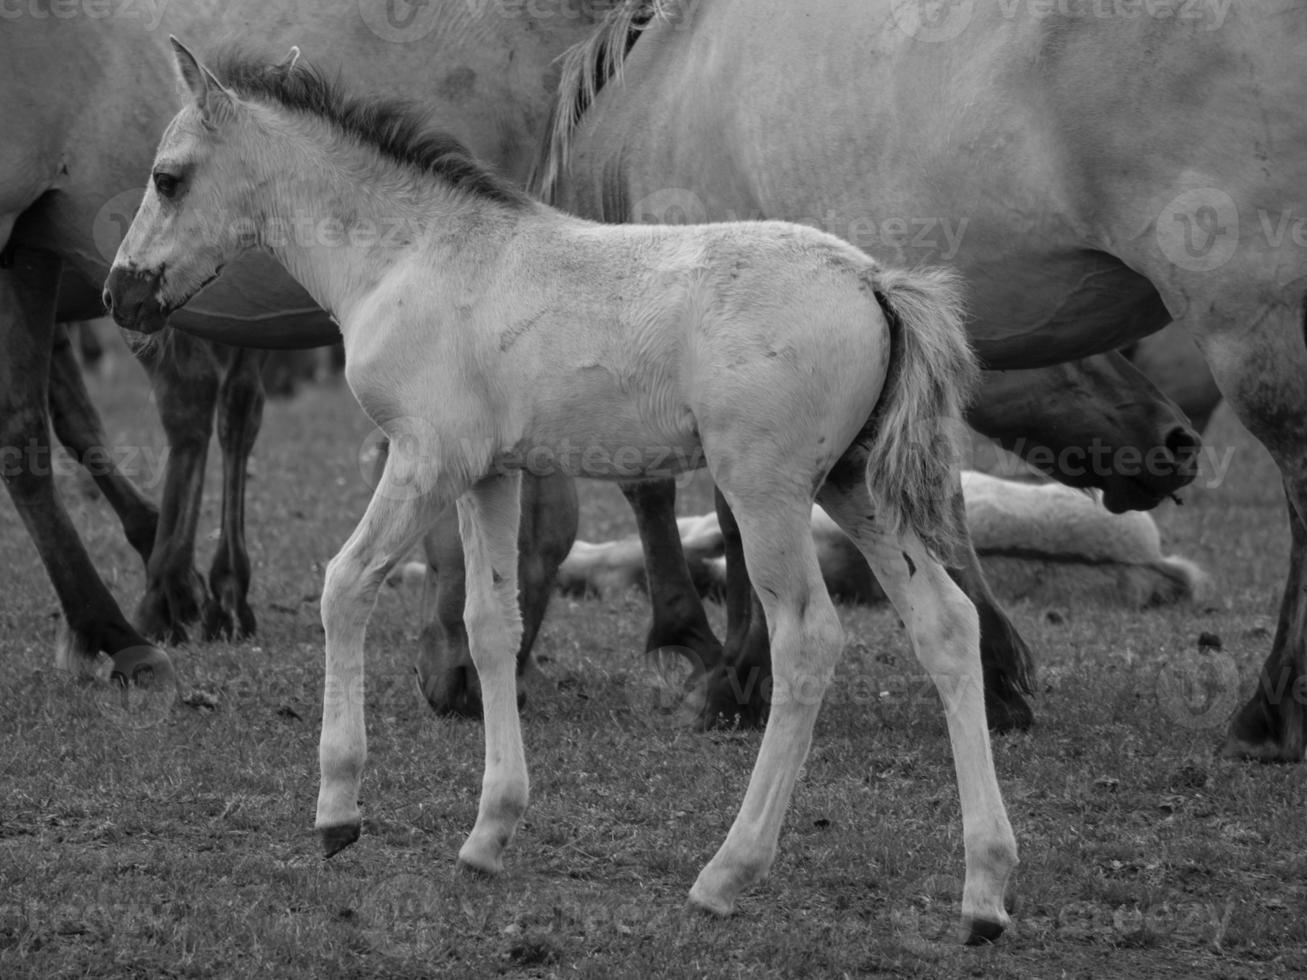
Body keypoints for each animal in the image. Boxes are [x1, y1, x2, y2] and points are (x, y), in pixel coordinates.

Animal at [104, 44, 1019, 946]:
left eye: (168, 177)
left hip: (767, 492)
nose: (121, 294)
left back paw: (725, 874)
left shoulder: (426, 457)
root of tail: (872, 280)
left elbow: (345, 585)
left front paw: (337, 812)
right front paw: (488, 834)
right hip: (853, 487)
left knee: (807, 640)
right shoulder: (487, 474)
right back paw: (984, 892)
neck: (410, 253)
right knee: (945, 625)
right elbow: (490, 626)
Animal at [530, 0, 1307, 757]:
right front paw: (997, 678)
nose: (1175, 443)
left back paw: (1268, 718)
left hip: (1250, 323)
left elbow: (734, 523)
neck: (652, 98)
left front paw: (733, 683)